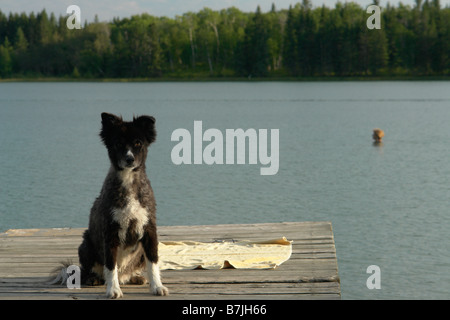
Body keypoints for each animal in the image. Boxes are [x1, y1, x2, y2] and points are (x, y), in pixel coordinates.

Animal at [51, 112, 170, 298]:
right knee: (91, 271)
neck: (128, 181)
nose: (129, 159)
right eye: (118, 143)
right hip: (85, 246)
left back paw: (135, 277)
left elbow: (153, 262)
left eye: (138, 143)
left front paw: (157, 286)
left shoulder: (149, 230)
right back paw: (94, 279)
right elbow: (111, 265)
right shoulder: (110, 231)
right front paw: (113, 289)